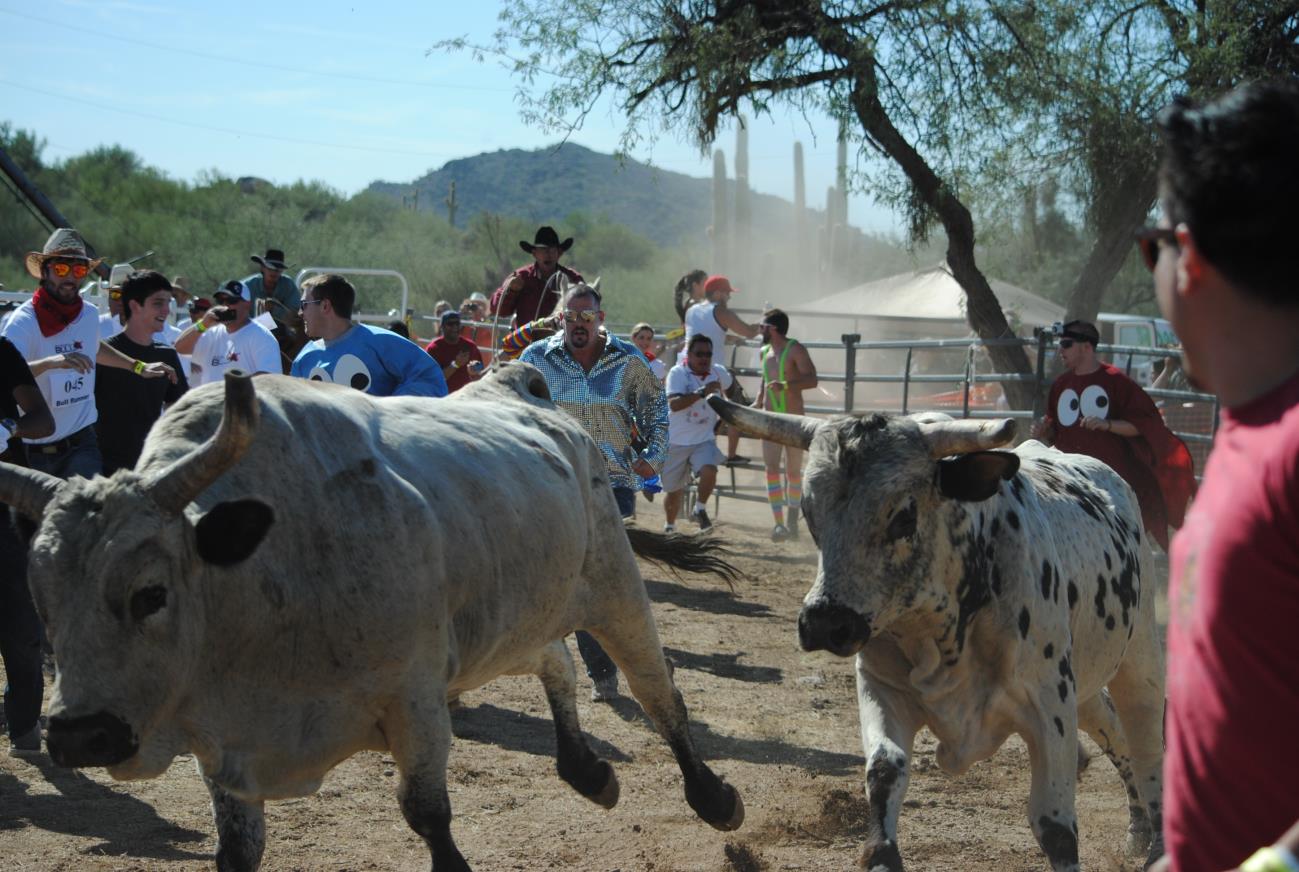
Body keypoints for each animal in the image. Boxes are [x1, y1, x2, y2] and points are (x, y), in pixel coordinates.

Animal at [0, 363, 748, 868]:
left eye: (150, 593)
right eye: (38, 597)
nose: (79, 736)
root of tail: (520, 383)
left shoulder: (413, 701)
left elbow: (428, 816)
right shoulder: (226, 744)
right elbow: (237, 851)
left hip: (613, 586)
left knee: (657, 692)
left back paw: (712, 797)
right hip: (512, 614)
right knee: (556, 660)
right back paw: (587, 771)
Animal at [711, 400, 1169, 872]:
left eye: (904, 515)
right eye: (809, 510)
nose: (824, 622)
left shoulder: (1049, 706)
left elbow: (1056, 827)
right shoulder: (881, 687)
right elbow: (885, 770)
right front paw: (882, 853)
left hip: (1139, 660)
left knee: (1145, 739)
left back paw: (1156, 841)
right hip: (1086, 680)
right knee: (1111, 726)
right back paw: (1137, 829)